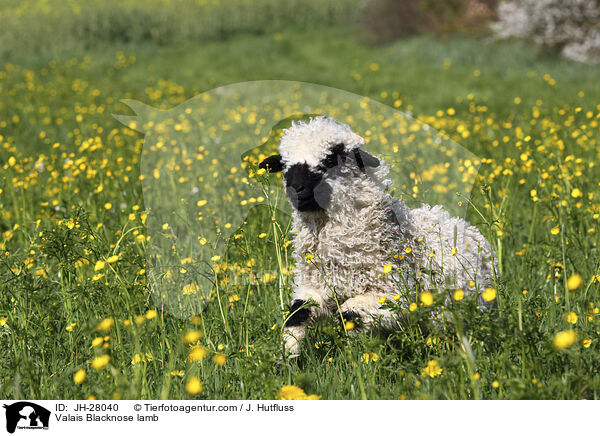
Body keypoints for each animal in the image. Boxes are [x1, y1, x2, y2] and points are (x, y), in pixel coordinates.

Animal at [258, 116, 496, 358]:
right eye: (284, 165)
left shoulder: (394, 294)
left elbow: (349, 315)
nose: (296, 189)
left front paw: (358, 358)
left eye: (331, 159)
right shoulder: (316, 284)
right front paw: (289, 357)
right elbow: (297, 313)